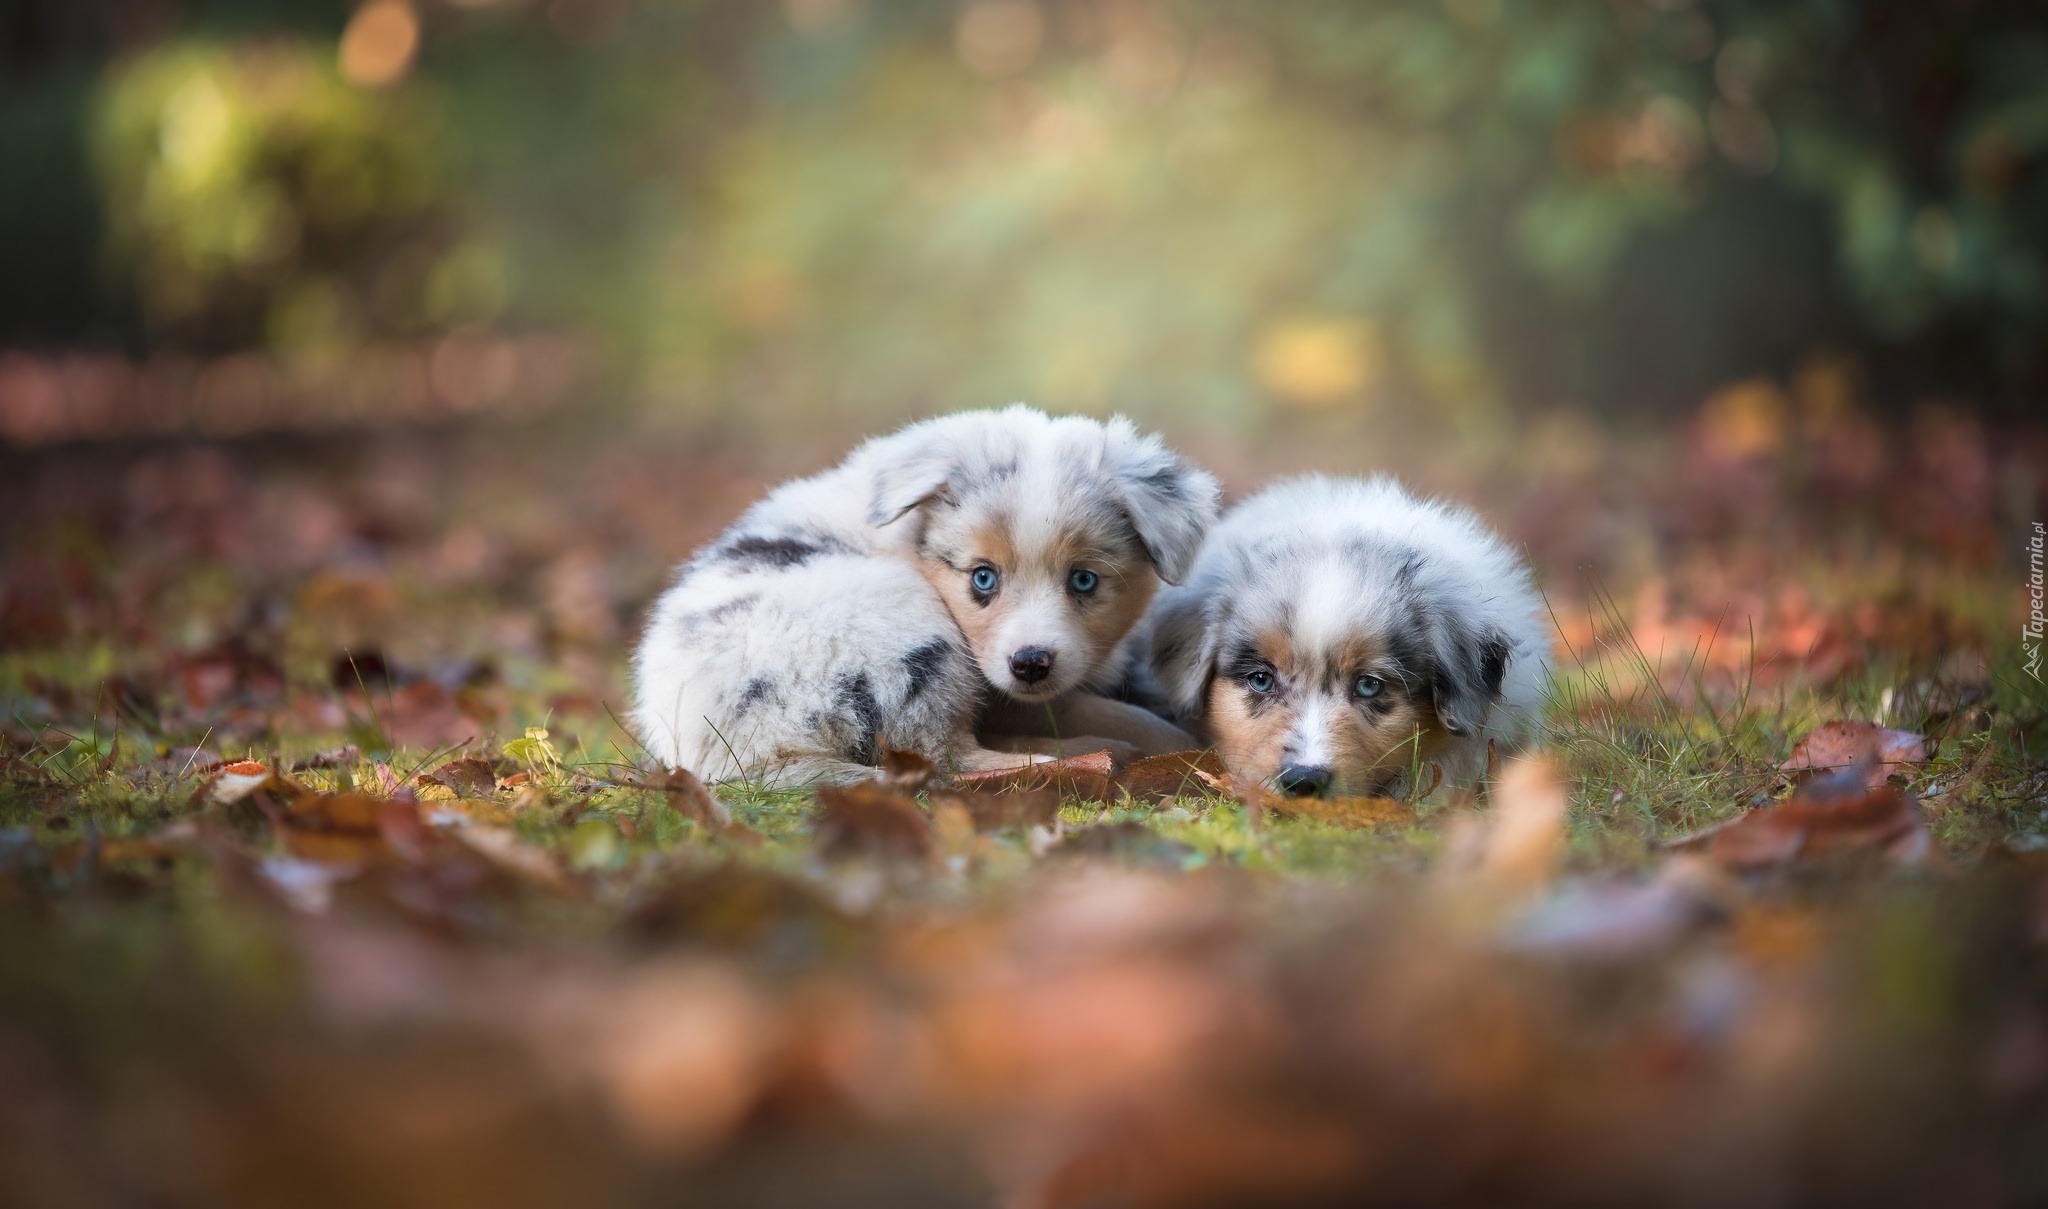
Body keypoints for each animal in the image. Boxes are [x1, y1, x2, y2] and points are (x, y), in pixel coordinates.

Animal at [630, 407, 1220, 786]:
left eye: (1084, 581)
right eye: (982, 578)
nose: (1031, 664)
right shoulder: (1004, 686)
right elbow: (1111, 713)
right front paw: (1175, 744)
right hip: (906, 628)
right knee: (944, 759)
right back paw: (1094, 758)